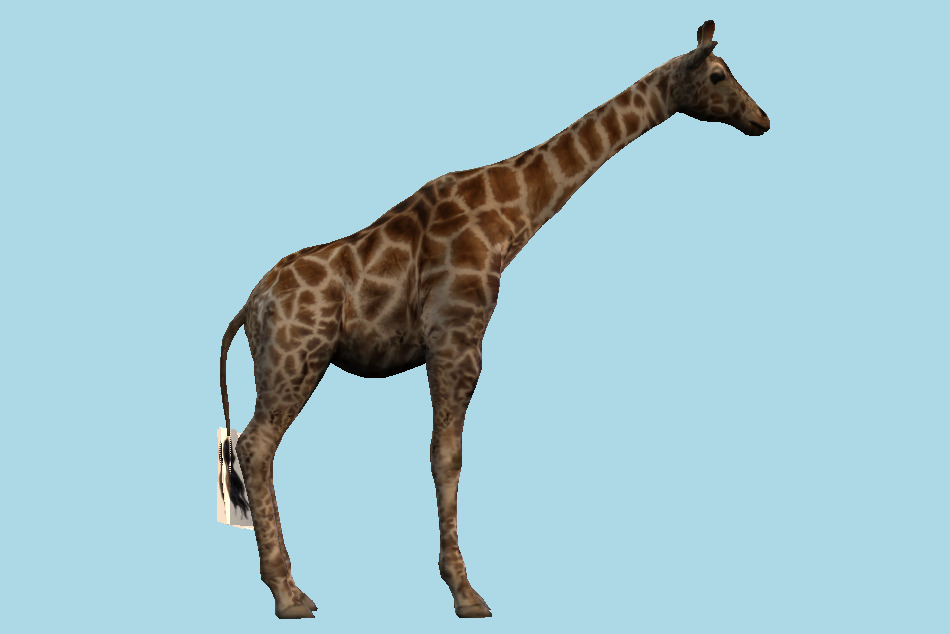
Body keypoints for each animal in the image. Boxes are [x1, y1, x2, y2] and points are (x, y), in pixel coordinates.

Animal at [220, 19, 768, 619]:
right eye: (718, 75)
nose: (762, 119)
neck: (510, 214)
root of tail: (249, 305)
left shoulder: (452, 344)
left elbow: (443, 455)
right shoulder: (457, 338)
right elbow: (447, 457)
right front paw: (465, 592)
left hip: (284, 362)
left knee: (256, 447)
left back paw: (290, 588)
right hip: (297, 357)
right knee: (256, 445)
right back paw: (288, 594)